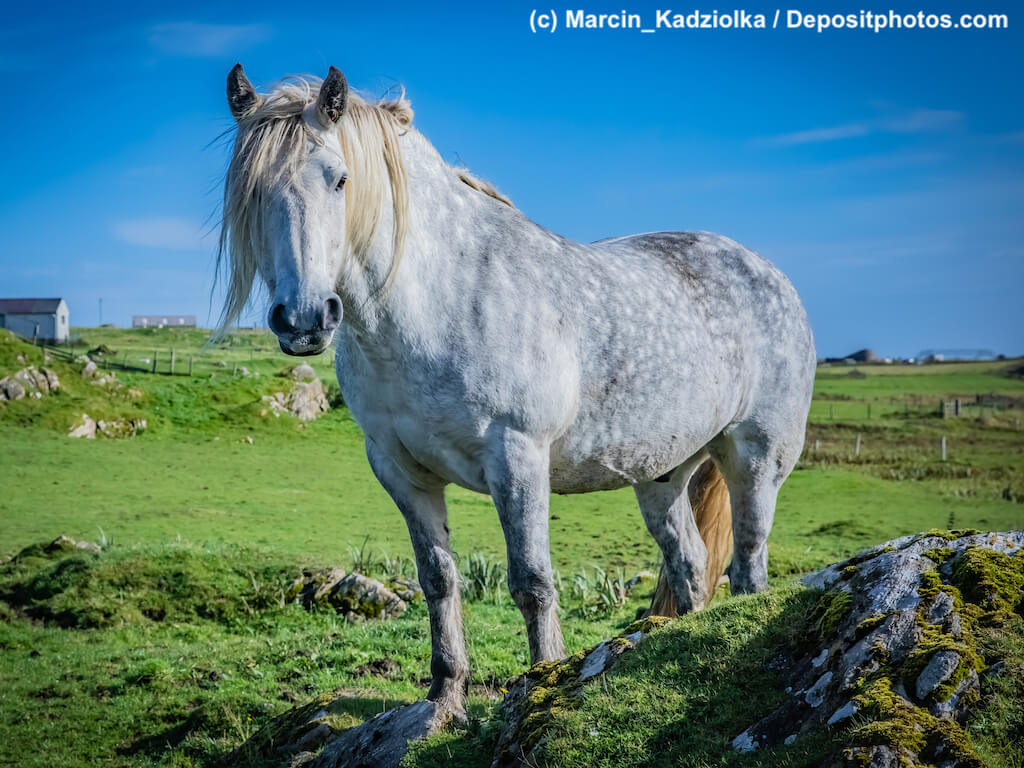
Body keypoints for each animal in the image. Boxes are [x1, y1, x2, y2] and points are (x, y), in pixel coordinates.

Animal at [217, 65, 816, 723]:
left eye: (341, 178)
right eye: (252, 192)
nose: (303, 319)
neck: (440, 301)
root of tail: (770, 274)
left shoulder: (518, 457)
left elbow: (532, 582)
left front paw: (541, 684)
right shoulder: (400, 470)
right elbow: (438, 579)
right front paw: (445, 700)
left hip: (755, 458)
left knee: (749, 562)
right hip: (662, 474)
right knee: (690, 562)